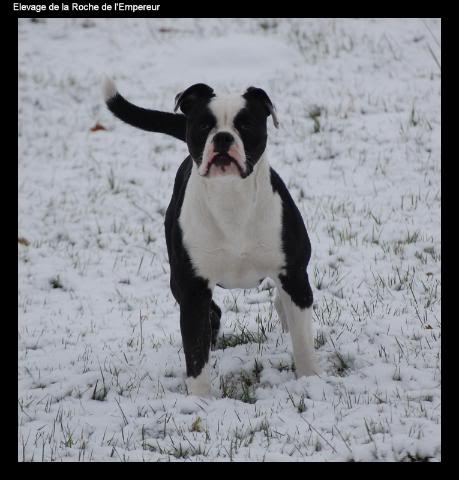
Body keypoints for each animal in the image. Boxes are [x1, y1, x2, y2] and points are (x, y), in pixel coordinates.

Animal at [104, 79, 320, 398]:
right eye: (204, 125)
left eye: (245, 123)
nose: (222, 138)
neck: (230, 199)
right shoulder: (193, 289)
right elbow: (195, 354)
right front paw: (201, 402)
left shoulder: (293, 275)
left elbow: (303, 341)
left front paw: (310, 381)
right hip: (179, 283)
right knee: (212, 314)